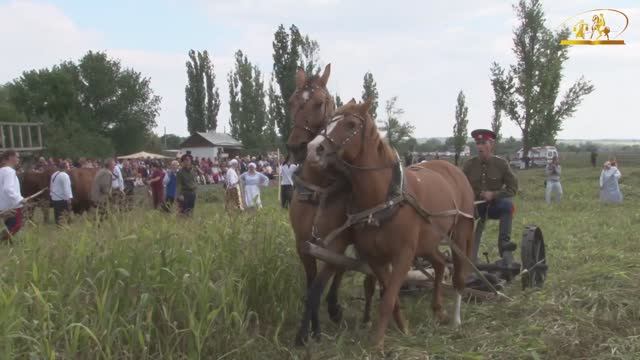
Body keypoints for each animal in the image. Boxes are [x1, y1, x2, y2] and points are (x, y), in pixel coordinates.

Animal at [284, 65, 376, 346]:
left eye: (319, 103)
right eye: (291, 101)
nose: (296, 146)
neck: (319, 191)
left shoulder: (334, 242)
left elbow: (319, 287)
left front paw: (304, 334)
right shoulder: (304, 245)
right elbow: (311, 285)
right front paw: (314, 328)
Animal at [308, 100, 478, 350]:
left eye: (350, 125)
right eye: (329, 120)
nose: (313, 149)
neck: (384, 199)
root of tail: (454, 168)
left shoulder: (403, 255)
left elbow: (388, 298)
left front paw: (377, 342)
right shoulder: (375, 258)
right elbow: (390, 293)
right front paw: (403, 328)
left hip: (460, 233)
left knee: (458, 276)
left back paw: (456, 320)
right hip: (427, 241)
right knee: (439, 264)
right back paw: (438, 310)